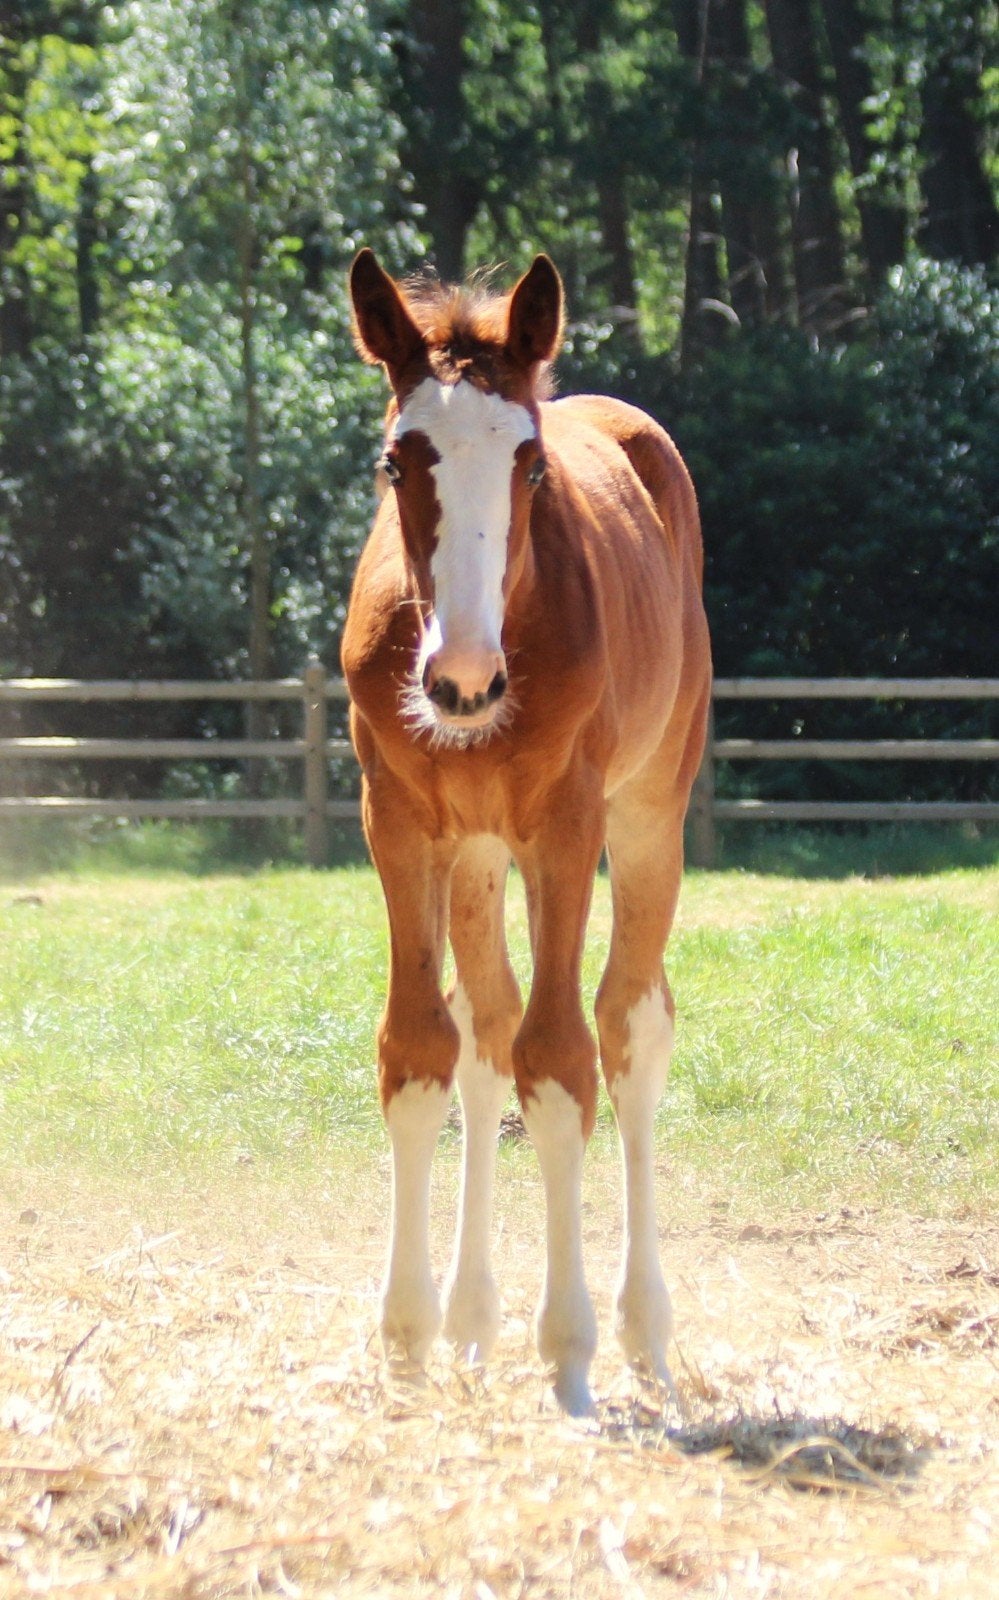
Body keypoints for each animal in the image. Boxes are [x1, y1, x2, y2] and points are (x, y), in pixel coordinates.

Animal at [342, 249, 711, 1415]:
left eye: (532, 466)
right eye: (396, 460)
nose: (461, 683)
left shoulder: (564, 825)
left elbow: (562, 1059)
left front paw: (570, 1350)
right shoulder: (398, 820)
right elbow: (421, 1049)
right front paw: (409, 1338)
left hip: (646, 819)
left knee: (630, 1029)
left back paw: (646, 1331)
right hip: (473, 854)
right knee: (485, 1032)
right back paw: (470, 1323)